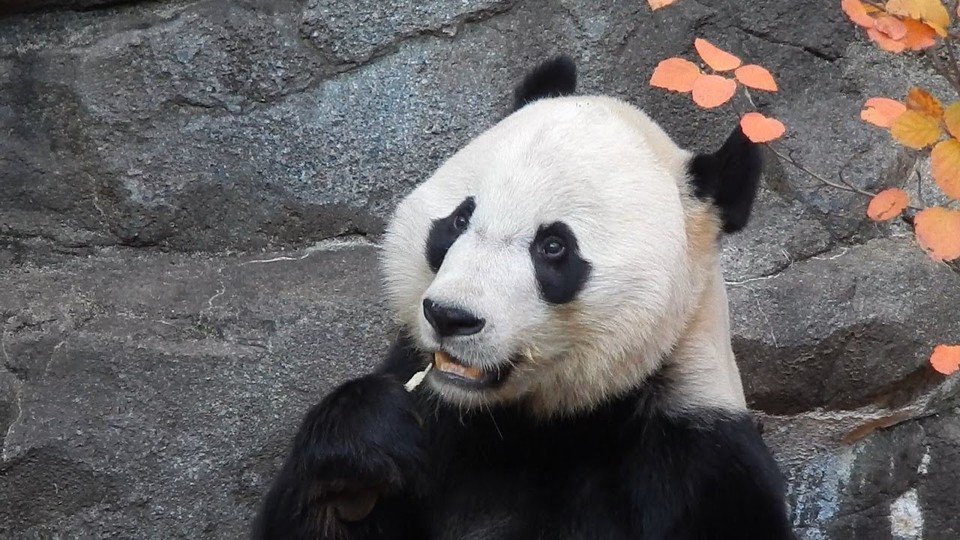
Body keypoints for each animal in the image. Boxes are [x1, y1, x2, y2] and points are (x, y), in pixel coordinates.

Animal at [253, 57, 795, 539]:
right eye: (460, 219)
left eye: (553, 247)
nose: (450, 317)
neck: (533, 423)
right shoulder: (439, 418)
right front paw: (365, 450)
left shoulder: (700, 465)